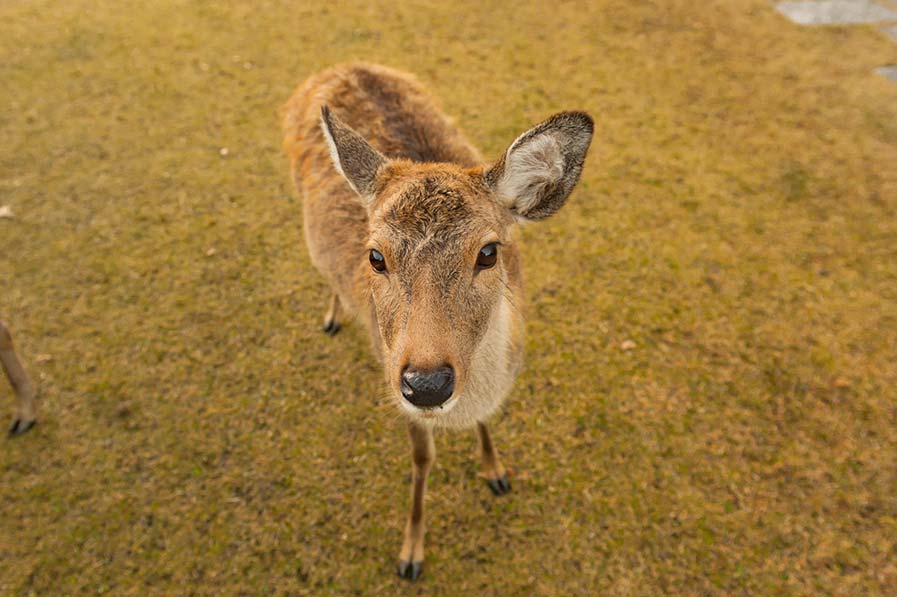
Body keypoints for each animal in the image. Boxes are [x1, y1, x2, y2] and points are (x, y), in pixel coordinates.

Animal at [282, 63, 593, 581]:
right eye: (375, 256)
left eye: (488, 252)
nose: (426, 384)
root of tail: (338, 67)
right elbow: (422, 458)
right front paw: (411, 554)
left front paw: (496, 472)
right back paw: (332, 315)